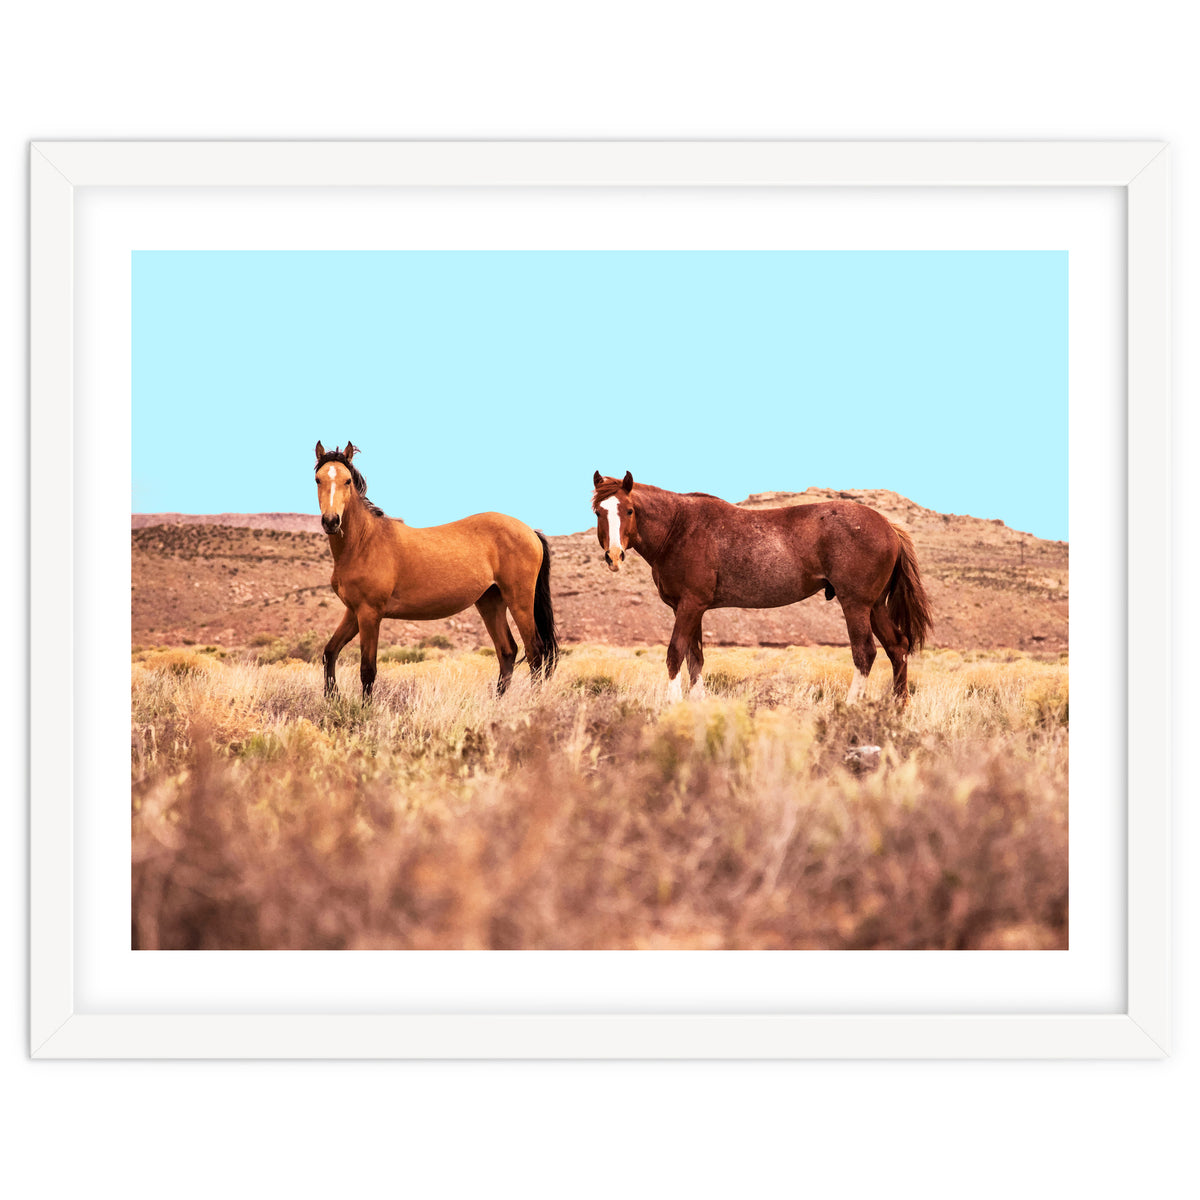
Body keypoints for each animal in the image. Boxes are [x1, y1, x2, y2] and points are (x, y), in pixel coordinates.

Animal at [313, 440, 559, 700]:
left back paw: (532, 701)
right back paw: (498, 703)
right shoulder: (354, 612)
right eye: (318, 479)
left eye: (347, 480)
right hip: (490, 602)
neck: (364, 542)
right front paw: (332, 697)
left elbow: (367, 670)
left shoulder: (370, 613)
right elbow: (329, 652)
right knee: (507, 651)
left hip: (519, 601)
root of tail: (530, 531)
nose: (331, 521)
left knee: (535, 653)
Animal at [591, 471, 932, 705]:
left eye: (629, 510)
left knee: (865, 653)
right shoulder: (691, 609)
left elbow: (675, 653)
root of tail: (888, 527)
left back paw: (850, 707)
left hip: (856, 605)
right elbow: (695, 659)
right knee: (897, 648)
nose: (614, 556)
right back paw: (897, 709)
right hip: (874, 606)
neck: (679, 528)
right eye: (598, 512)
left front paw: (673, 705)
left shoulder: (690, 606)